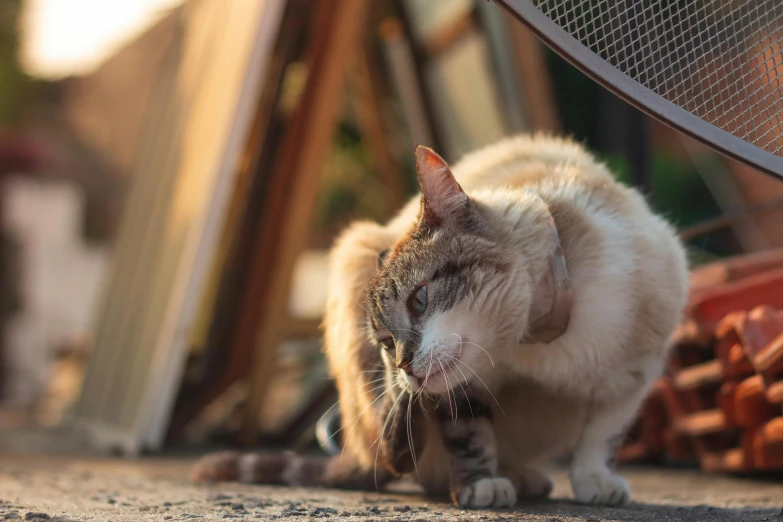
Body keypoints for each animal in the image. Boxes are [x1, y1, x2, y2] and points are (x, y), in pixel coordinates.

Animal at [193, 134, 688, 508]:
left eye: (420, 299)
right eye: (385, 342)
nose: (404, 367)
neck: (533, 346)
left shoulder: (636, 371)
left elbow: (603, 434)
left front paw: (595, 482)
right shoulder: (460, 387)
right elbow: (469, 435)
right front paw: (480, 487)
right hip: (354, 250)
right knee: (405, 461)